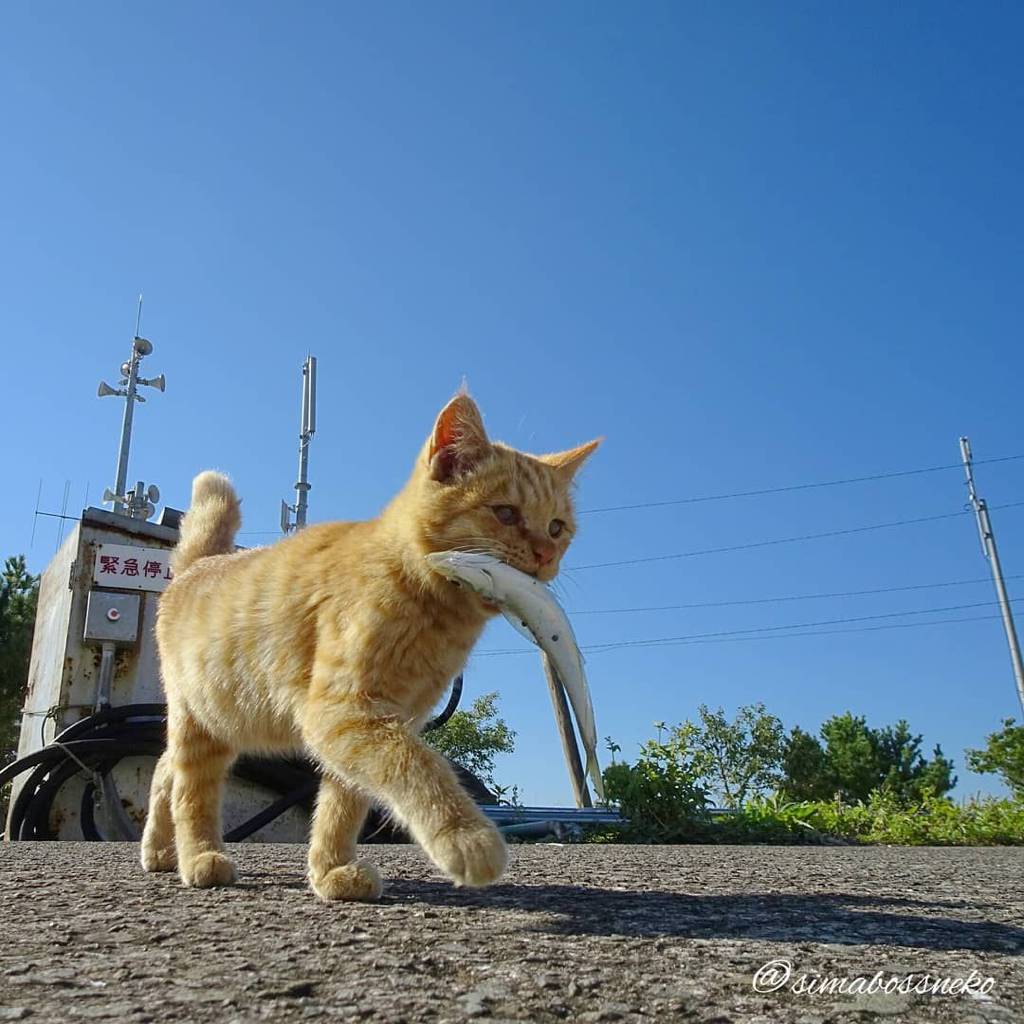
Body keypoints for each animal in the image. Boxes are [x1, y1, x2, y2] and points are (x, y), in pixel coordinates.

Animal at [140, 395, 598, 901]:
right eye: (506, 514)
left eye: (556, 527)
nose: (545, 555)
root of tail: (199, 564)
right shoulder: (346, 713)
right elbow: (418, 765)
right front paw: (467, 837)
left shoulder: (375, 724)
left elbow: (343, 807)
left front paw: (331, 871)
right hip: (202, 723)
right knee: (190, 793)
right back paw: (198, 857)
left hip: (220, 721)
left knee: (163, 772)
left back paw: (159, 852)